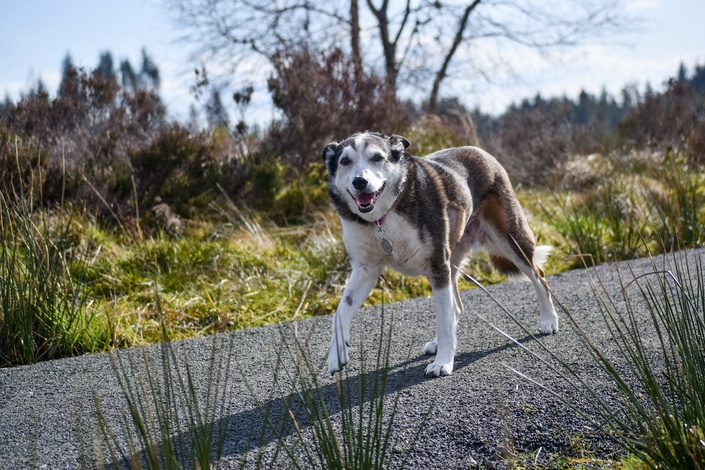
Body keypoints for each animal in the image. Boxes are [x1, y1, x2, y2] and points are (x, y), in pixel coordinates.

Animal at [322, 132, 560, 378]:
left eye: (377, 157)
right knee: (456, 306)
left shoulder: (437, 265)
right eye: (345, 161)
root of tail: (478, 150)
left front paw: (443, 362)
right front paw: (336, 354)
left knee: (538, 276)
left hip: (510, 240)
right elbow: (340, 313)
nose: (359, 182)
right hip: (453, 260)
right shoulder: (366, 270)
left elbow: (443, 320)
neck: (384, 215)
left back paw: (549, 320)